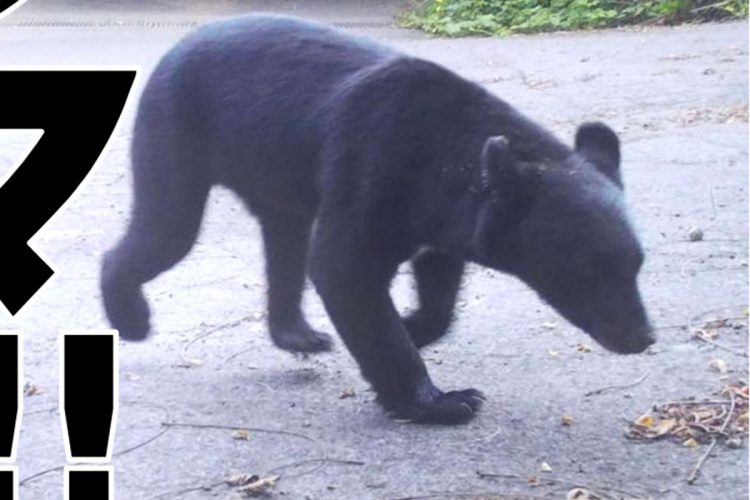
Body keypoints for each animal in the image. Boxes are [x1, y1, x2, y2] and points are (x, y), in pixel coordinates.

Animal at [103, 14, 656, 422]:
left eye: (636, 265)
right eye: (585, 270)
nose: (642, 337)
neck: (448, 162)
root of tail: (179, 44)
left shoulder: (442, 218)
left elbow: (438, 282)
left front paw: (413, 325)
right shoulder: (373, 164)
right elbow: (345, 267)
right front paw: (444, 400)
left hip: (277, 176)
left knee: (286, 244)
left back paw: (299, 334)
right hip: (177, 133)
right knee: (167, 229)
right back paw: (130, 317)